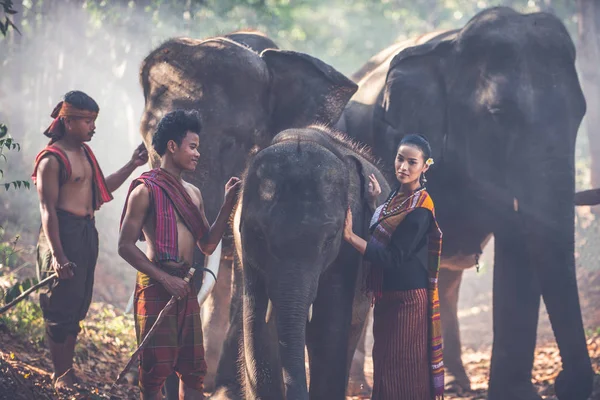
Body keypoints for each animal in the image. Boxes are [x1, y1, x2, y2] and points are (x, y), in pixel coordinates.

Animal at [225, 126, 390, 400]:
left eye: (330, 239)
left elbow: (328, 327)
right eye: (259, 235)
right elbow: (258, 326)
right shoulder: (247, 253)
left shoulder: (348, 248)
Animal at [336, 6, 592, 400]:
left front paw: (515, 393)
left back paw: (454, 380)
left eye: (581, 112)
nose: (569, 384)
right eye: (499, 114)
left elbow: (518, 242)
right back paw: (360, 386)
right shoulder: (390, 137)